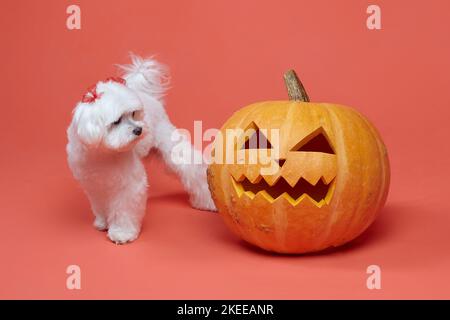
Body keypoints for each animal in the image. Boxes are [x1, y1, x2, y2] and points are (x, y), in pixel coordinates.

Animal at [65, 55, 216, 245]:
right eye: (116, 121)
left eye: (133, 114)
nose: (138, 130)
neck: (102, 154)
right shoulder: (94, 185)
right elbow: (99, 204)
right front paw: (102, 222)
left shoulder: (129, 185)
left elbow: (124, 209)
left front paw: (122, 233)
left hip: (173, 149)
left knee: (194, 171)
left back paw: (208, 202)